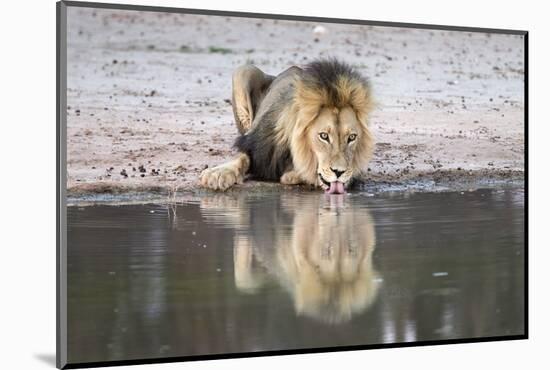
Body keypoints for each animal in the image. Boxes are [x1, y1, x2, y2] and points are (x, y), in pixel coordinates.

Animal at [201, 57, 378, 194]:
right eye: (324, 136)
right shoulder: (256, 147)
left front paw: (294, 174)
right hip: (243, 70)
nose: (339, 172)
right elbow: (241, 157)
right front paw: (217, 174)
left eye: (352, 137)